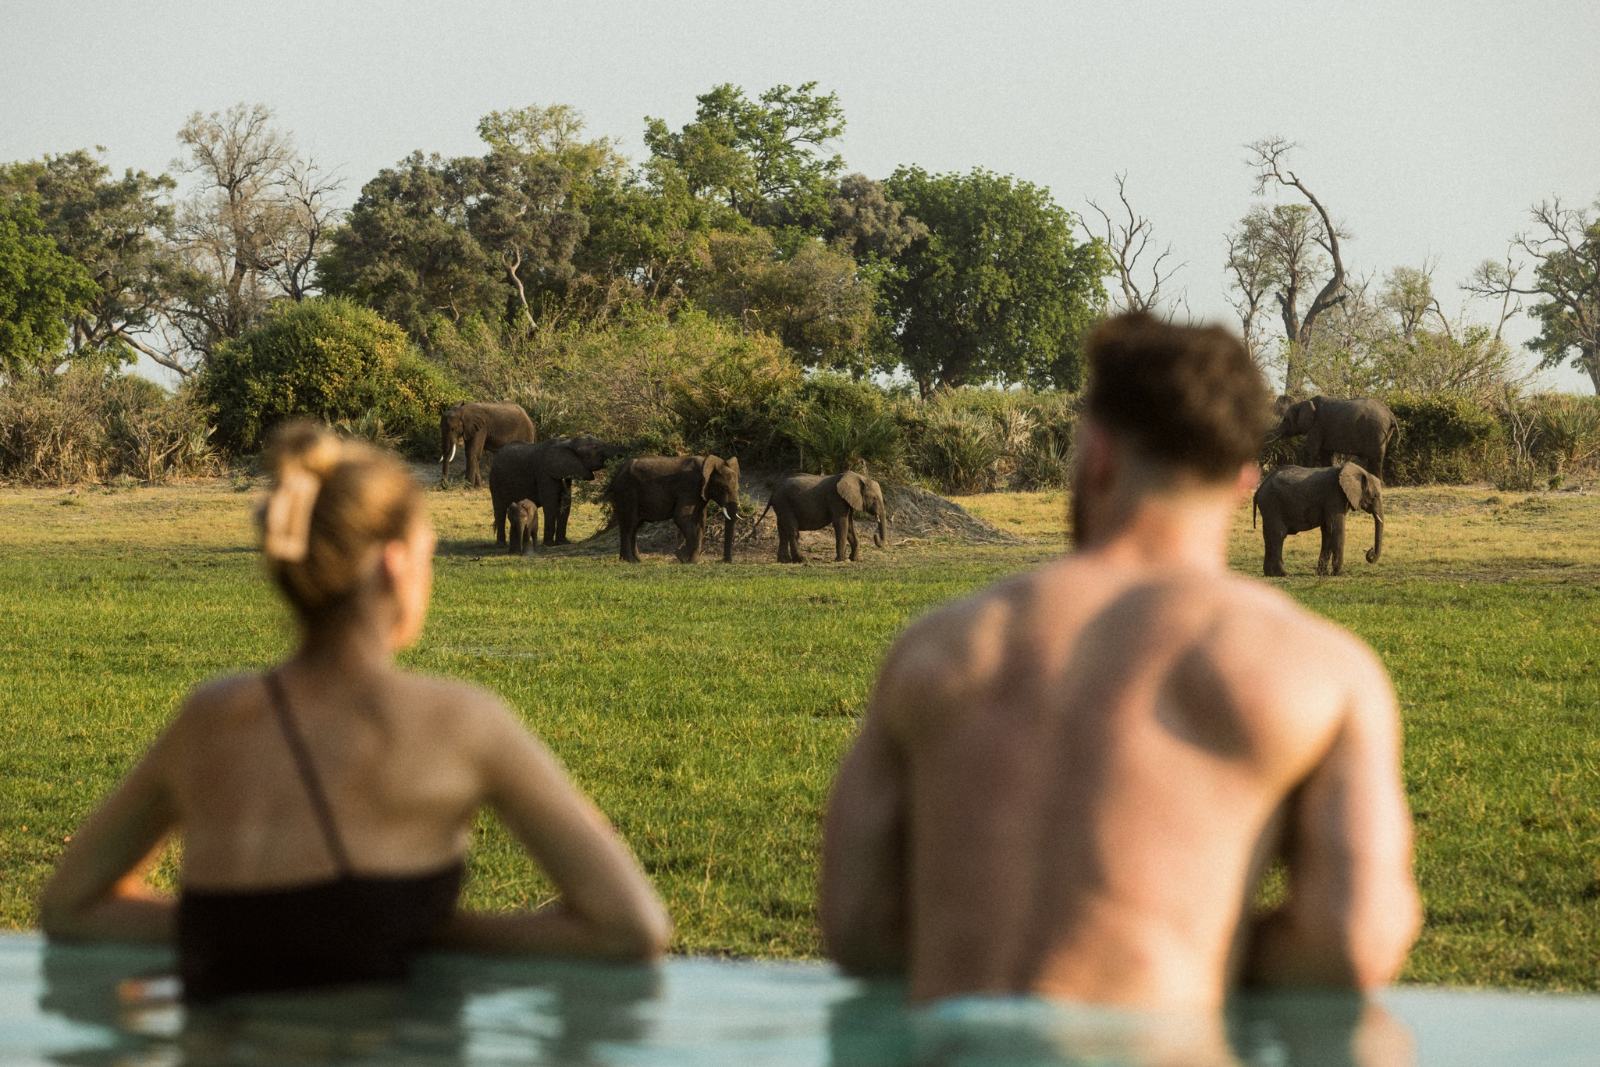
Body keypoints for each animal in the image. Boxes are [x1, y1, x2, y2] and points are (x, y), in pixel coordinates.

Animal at [608, 455, 741, 563]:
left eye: (737, 488)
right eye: (724, 488)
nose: (724, 561)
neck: (708, 463)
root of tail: (616, 473)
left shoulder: (700, 494)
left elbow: (700, 521)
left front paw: (691, 561)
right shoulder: (689, 488)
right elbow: (681, 517)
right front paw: (683, 557)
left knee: (634, 526)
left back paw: (636, 560)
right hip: (627, 492)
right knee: (629, 525)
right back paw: (630, 561)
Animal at [750, 471, 889, 563]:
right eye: (874, 498)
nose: (875, 535)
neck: (858, 477)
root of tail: (773, 491)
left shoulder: (847, 502)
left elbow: (849, 526)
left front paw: (854, 559)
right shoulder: (836, 499)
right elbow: (841, 524)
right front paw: (841, 560)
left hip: (781, 506)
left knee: (782, 531)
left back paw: (784, 561)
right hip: (784, 503)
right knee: (792, 531)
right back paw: (800, 560)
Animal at [1253, 462, 1384, 577]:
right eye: (1375, 496)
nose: (1370, 551)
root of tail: (1259, 488)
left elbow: (1327, 530)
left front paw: (1322, 574)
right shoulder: (1334, 496)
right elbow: (1336, 529)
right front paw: (1338, 574)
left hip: (1269, 507)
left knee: (1269, 536)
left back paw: (1269, 574)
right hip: (1272, 504)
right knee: (1278, 535)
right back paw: (1283, 574)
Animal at [1268, 396, 1398, 478]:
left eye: (1285, 419)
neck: (1304, 402)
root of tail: (1391, 415)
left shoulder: (1317, 426)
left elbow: (1311, 451)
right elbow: (1326, 453)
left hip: (1377, 431)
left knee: (1376, 459)